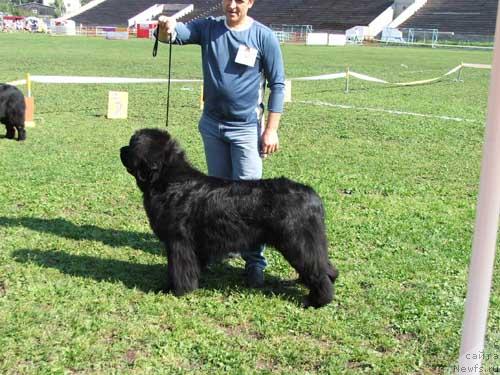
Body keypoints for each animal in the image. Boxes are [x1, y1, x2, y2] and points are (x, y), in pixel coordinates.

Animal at [121, 129, 340, 308]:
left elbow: (178, 269)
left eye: (132, 144)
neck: (168, 180)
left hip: (297, 241)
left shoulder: (178, 242)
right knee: (324, 264)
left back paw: (317, 300)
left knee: (316, 269)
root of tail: (312, 194)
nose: (121, 148)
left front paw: (176, 290)